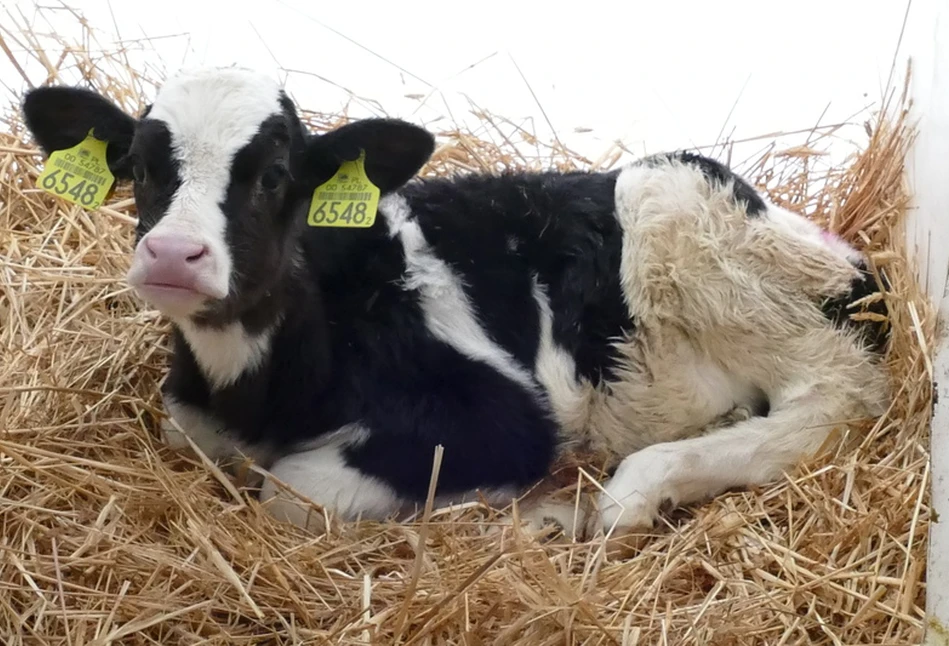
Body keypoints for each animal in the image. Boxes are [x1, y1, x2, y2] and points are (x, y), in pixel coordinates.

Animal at [24, 68, 896, 540]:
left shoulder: (502, 415)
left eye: (274, 176)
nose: (174, 255)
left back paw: (636, 489)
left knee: (835, 392)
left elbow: (293, 493)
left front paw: (514, 502)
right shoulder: (191, 421)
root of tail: (854, 258)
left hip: (678, 202)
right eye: (140, 168)